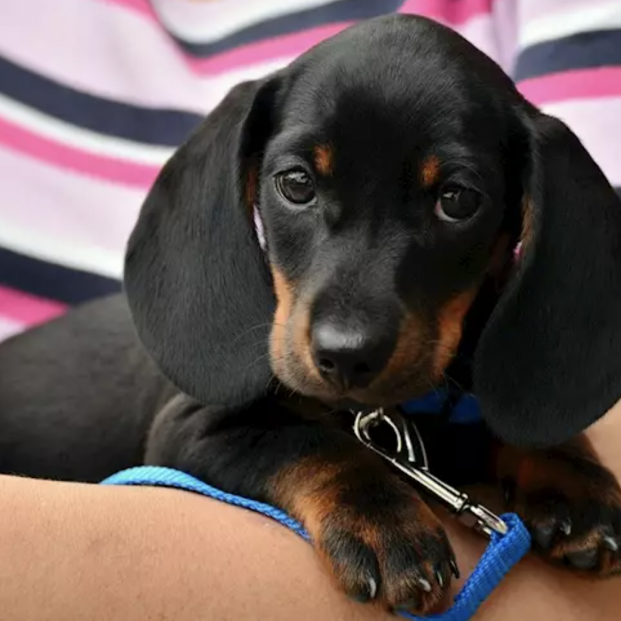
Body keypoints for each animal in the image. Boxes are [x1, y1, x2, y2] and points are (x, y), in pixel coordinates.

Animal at [1, 14, 620, 616]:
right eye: (296, 183)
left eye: (458, 199)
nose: (345, 357)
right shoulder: (189, 428)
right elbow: (309, 443)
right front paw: (381, 519)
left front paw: (573, 475)